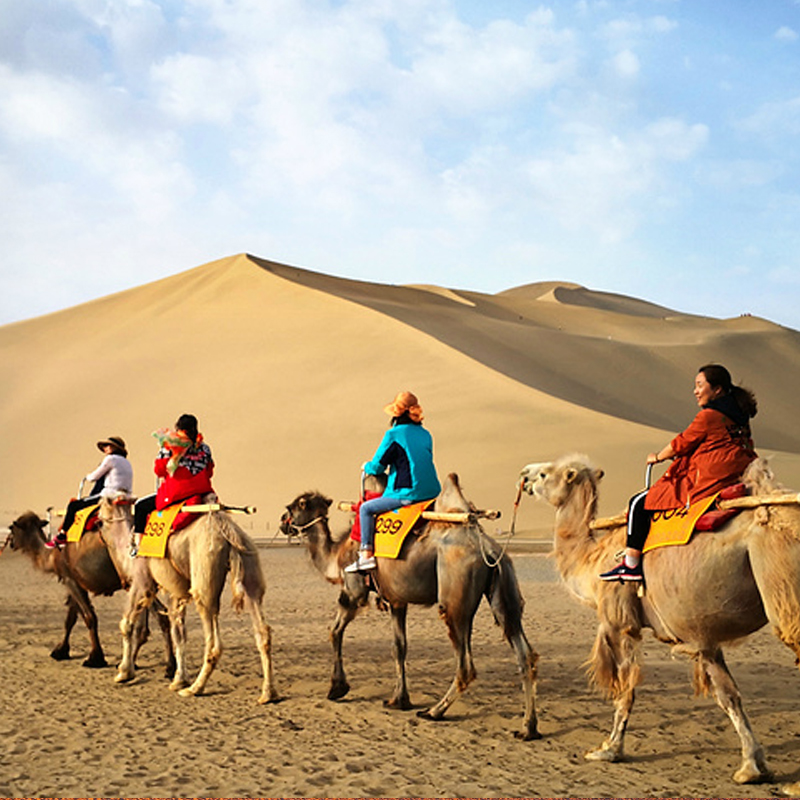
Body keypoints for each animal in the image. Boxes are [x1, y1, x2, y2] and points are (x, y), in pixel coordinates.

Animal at [4, 504, 173, 672]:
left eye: (12, 527)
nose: (11, 544)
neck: (51, 556)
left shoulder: (69, 579)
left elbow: (89, 617)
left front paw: (95, 658)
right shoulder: (76, 581)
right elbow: (71, 618)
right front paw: (61, 651)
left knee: (158, 616)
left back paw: (166, 667)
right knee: (150, 620)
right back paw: (142, 663)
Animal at [113, 504, 282, 704]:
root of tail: (229, 534)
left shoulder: (142, 581)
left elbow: (126, 623)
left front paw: (124, 672)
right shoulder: (175, 593)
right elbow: (178, 633)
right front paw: (179, 679)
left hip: (204, 580)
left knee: (214, 643)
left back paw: (195, 688)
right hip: (250, 567)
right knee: (263, 632)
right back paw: (268, 693)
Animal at [278, 472, 540, 740]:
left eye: (292, 507)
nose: (282, 522)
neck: (336, 554)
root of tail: (487, 547)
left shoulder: (353, 591)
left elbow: (335, 632)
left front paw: (337, 688)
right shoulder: (396, 599)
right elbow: (399, 646)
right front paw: (398, 699)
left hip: (454, 593)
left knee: (465, 664)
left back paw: (434, 711)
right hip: (502, 585)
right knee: (524, 653)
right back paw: (528, 728)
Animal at [520, 454, 800, 784]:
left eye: (544, 474)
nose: (524, 475)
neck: (592, 560)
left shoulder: (620, 621)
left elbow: (625, 691)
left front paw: (609, 750)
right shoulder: (701, 636)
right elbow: (729, 696)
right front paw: (751, 767)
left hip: (782, 586)